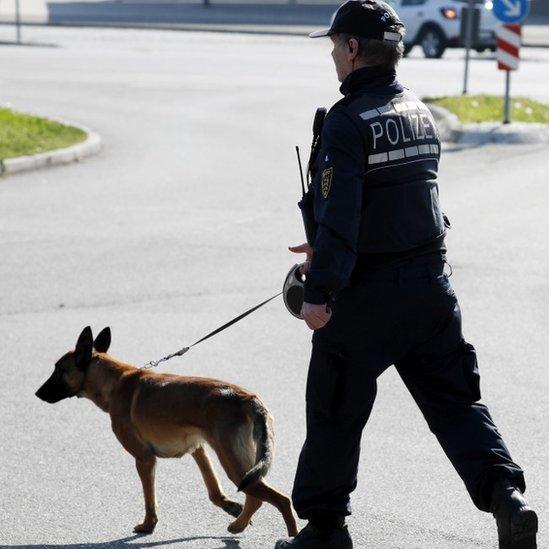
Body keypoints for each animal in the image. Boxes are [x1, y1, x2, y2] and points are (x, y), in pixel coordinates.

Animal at [35, 326, 298, 536]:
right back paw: (239, 524)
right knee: (255, 497)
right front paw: (229, 506)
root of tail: (247, 398)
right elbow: (213, 490)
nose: (37, 393)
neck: (115, 381)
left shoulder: (144, 459)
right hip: (242, 466)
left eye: (58, 369)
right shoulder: (198, 449)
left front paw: (148, 525)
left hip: (233, 464)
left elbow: (149, 498)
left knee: (280, 500)